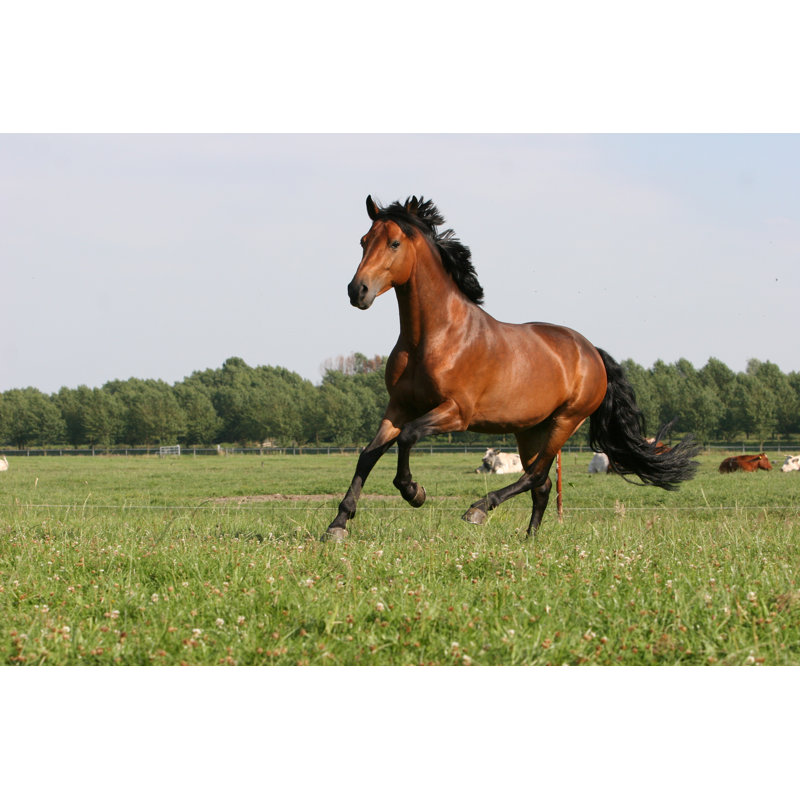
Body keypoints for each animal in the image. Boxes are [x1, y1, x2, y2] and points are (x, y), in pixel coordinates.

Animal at [323, 196, 700, 541]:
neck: (434, 336)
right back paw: (529, 539)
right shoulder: (398, 407)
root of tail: (592, 352)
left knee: (535, 477)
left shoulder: (456, 413)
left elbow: (409, 437)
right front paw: (338, 524)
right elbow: (368, 455)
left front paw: (414, 492)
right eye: (363, 241)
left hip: (565, 422)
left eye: (395, 243)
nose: (357, 291)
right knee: (543, 485)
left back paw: (478, 509)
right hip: (530, 430)